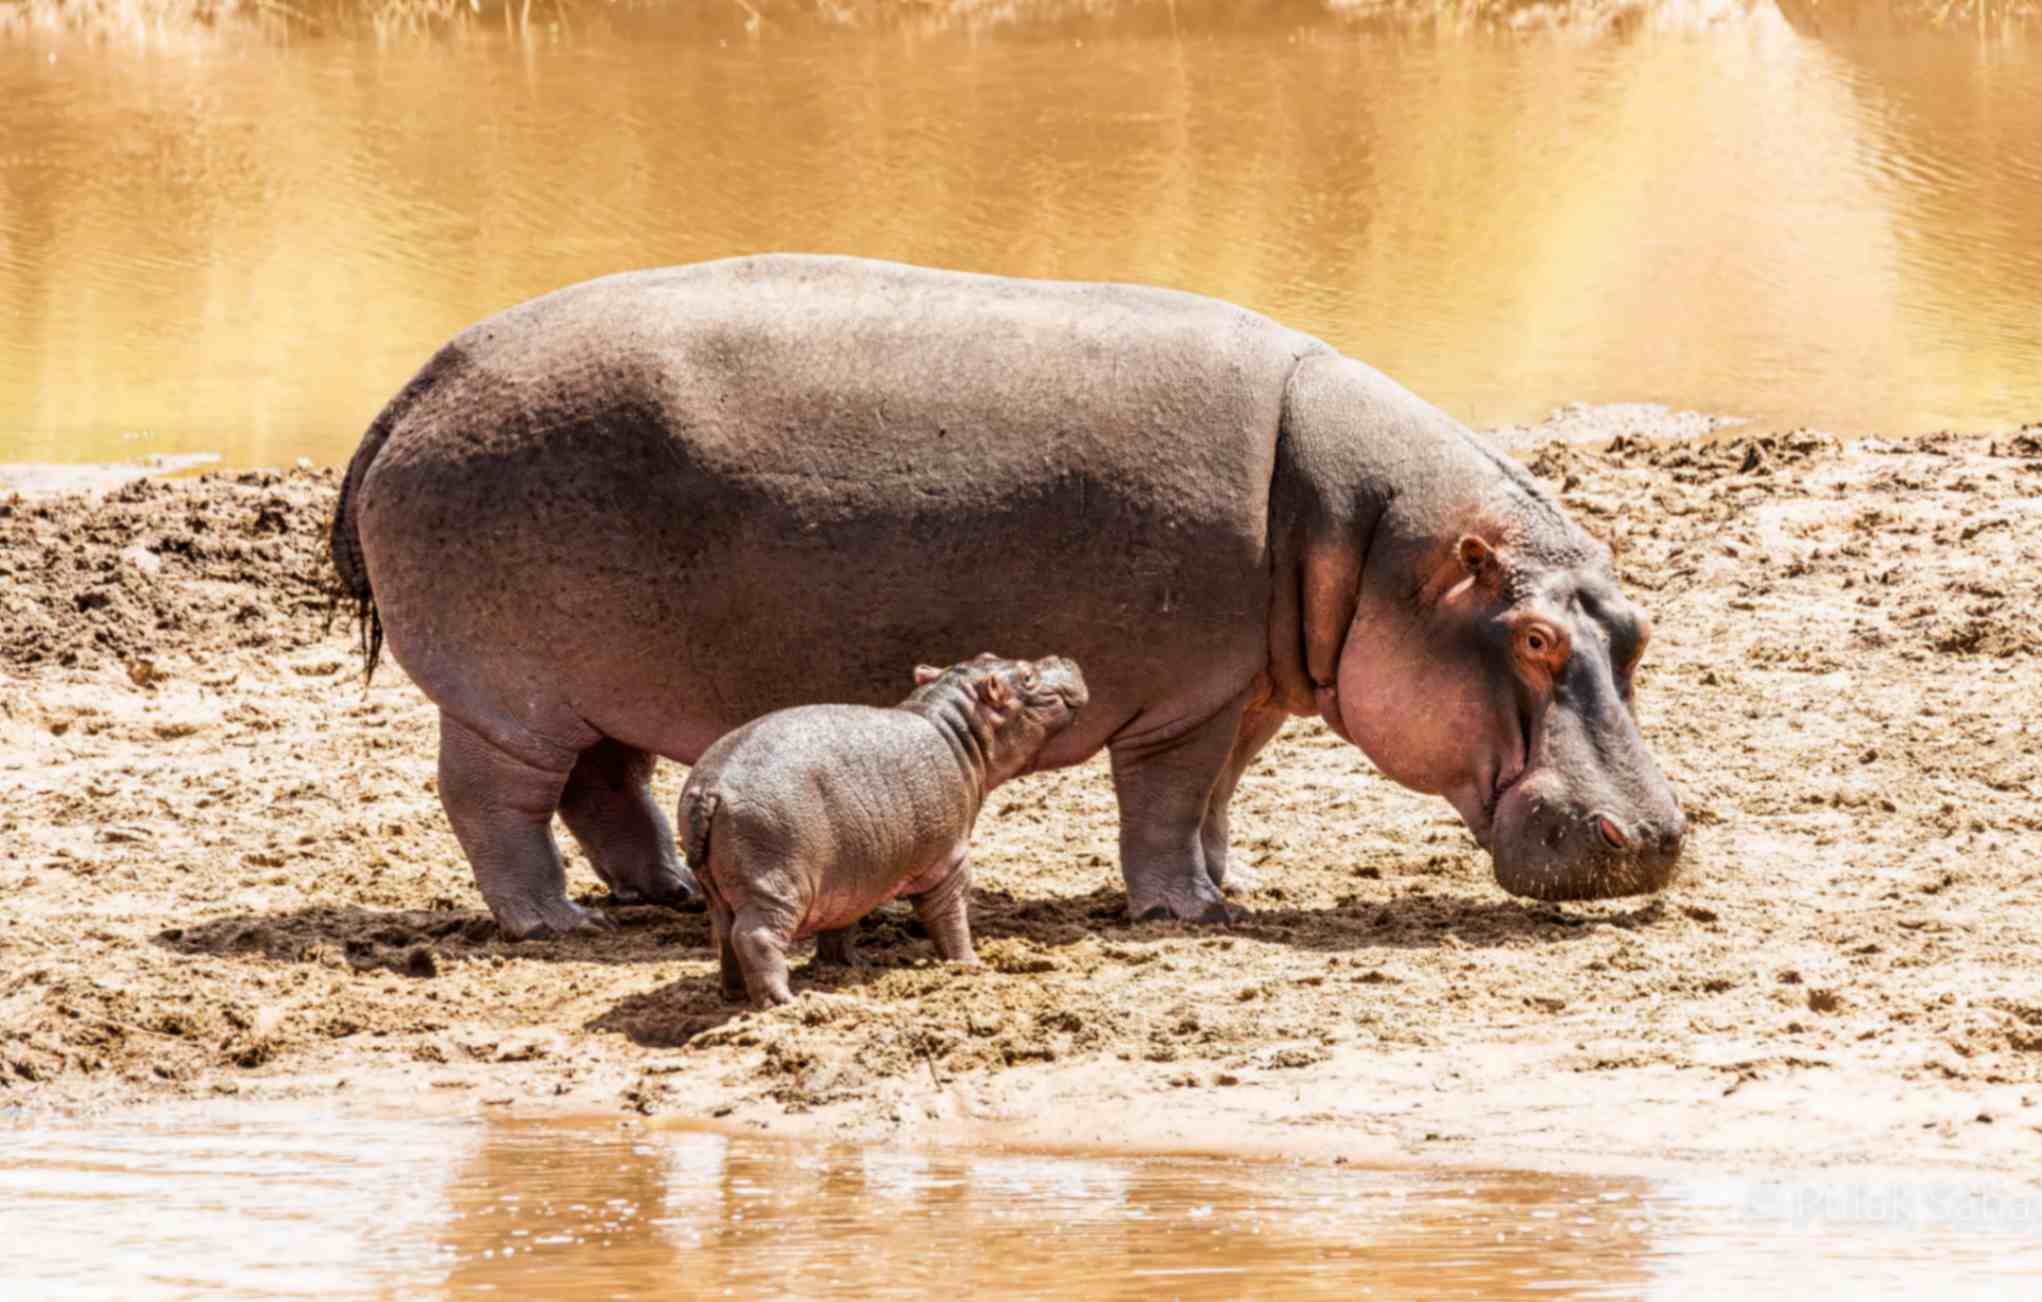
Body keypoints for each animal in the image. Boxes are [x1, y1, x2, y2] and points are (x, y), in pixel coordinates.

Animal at [330, 253, 1685, 939]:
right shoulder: (1185, 700)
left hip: (593, 682)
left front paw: (1228, 887)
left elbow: (1220, 800)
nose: (1659, 838)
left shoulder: (1242, 691)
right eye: (1527, 636)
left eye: (1636, 627)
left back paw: (658, 891)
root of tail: (416, 383)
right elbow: (1167, 805)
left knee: (605, 787)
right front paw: (1185, 911)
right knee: (494, 804)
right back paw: (551, 925)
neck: (1375, 537)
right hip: (506, 697)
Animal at [681, 653, 1087, 1007]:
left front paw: (852, 965)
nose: (1063, 657)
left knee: (725, 935)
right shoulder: (948, 862)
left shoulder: (850, 875)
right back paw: (783, 1002)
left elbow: (841, 924)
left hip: (722, 889)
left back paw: (734, 994)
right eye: (1027, 677)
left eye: (989, 654)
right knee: (755, 936)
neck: (959, 729)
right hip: (776, 882)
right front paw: (970, 965)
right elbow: (951, 917)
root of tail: (710, 787)